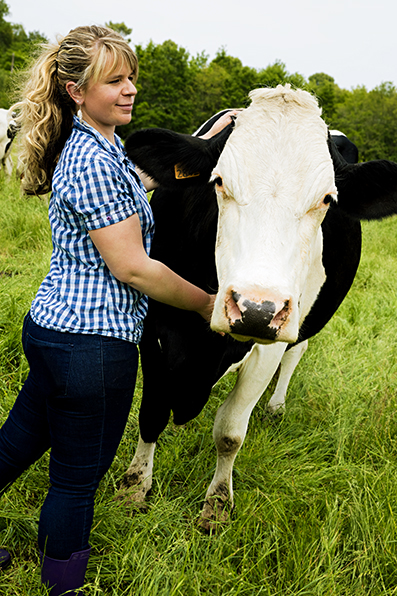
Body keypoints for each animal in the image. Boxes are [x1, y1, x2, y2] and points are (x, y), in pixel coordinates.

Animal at [120, 86, 396, 528]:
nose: (255, 309)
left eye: (327, 199)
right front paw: (133, 488)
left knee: (297, 350)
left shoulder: (269, 343)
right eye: (218, 181)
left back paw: (276, 406)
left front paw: (217, 504)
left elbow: (230, 432)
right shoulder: (153, 326)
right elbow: (152, 413)